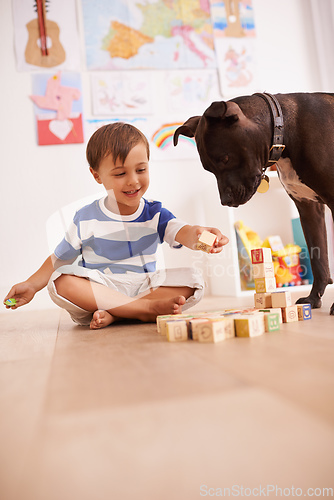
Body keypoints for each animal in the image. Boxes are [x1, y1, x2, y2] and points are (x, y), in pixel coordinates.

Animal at [175, 92, 334, 314]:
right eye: (209, 168)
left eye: (225, 159)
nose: (225, 201)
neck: (285, 128)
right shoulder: (308, 208)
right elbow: (318, 258)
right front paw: (313, 298)